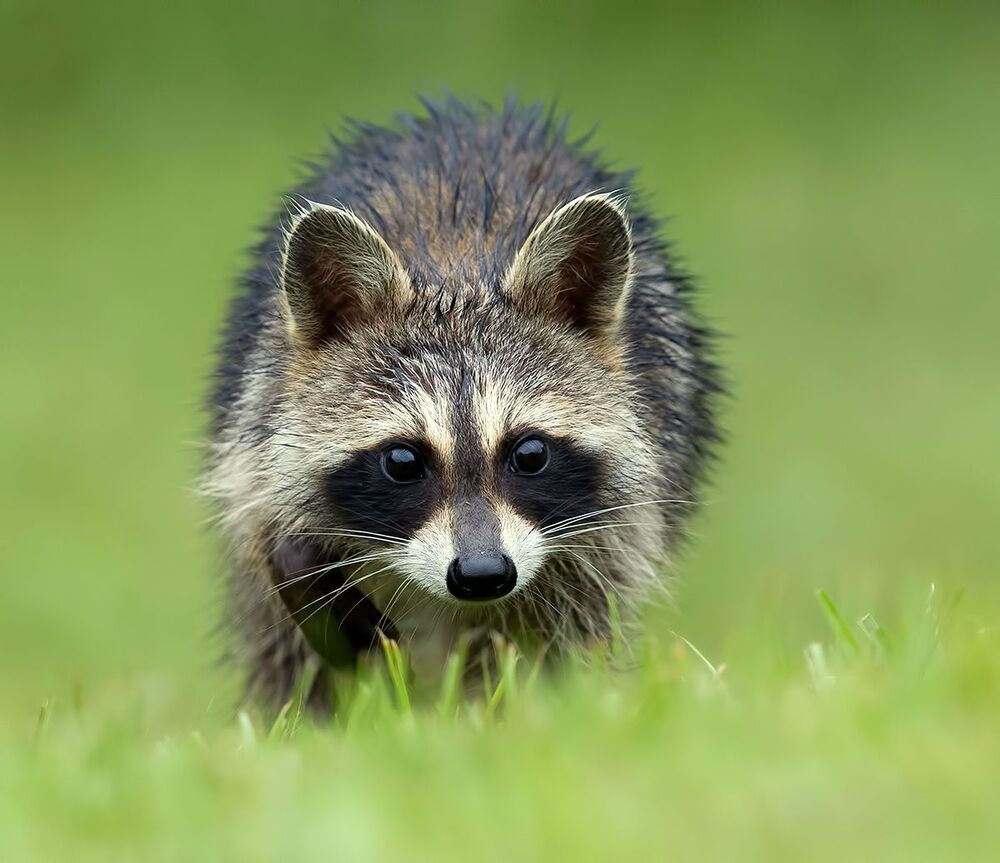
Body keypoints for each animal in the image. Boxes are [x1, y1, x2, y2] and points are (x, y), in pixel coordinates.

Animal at [205, 98, 719, 707]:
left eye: (530, 454)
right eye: (403, 461)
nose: (481, 575)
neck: (458, 274)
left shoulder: (620, 517)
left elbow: (568, 627)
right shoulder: (257, 417)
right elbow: (274, 552)